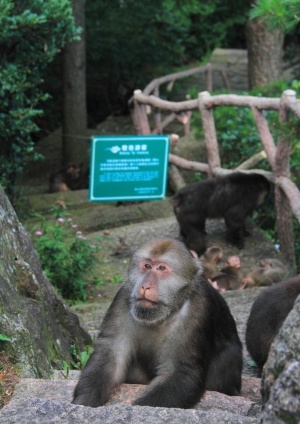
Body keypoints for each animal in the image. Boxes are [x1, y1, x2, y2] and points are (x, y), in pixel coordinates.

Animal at [72, 238, 244, 408]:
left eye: (161, 268)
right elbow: (110, 354)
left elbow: (182, 372)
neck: (167, 311)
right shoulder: (123, 297)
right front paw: (83, 402)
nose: (145, 286)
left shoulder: (199, 307)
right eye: (147, 266)